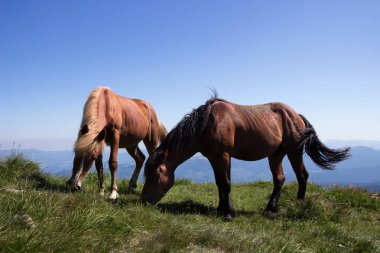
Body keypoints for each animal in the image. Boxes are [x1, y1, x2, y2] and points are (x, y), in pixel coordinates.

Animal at [142, 95, 350, 219]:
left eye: (156, 173)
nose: (144, 200)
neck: (207, 123)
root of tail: (296, 115)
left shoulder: (223, 156)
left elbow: (226, 184)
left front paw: (229, 214)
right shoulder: (215, 158)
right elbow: (220, 183)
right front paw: (221, 209)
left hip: (294, 151)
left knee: (302, 176)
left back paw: (298, 206)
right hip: (276, 155)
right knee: (279, 179)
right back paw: (270, 208)